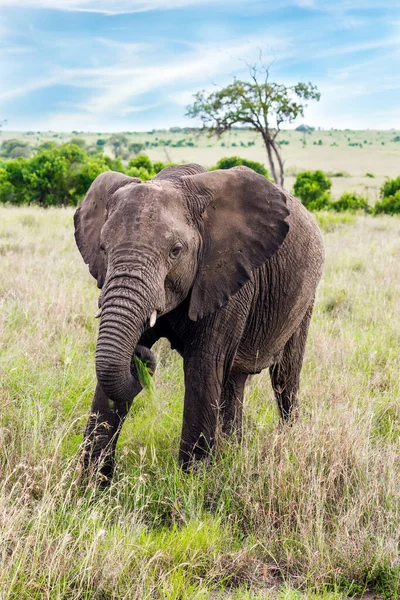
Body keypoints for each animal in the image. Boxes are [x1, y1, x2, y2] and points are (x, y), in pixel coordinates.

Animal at [74, 163, 324, 482]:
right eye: (104, 248)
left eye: (176, 250)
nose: (142, 358)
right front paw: (91, 486)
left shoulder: (227, 278)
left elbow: (204, 367)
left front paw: (191, 484)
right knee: (234, 381)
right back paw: (232, 451)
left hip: (306, 295)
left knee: (284, 377)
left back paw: (288, 441)